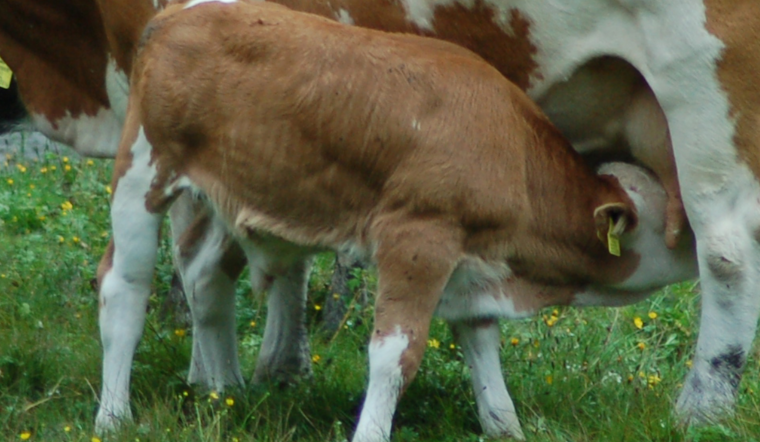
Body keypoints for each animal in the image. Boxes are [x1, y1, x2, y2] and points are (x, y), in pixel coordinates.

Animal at [1, 0, 757, 435]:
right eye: (656, 224)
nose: (686, 232)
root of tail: (175, 16)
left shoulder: (468, 253)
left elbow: (478, 338)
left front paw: (504, 424)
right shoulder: (415, 238)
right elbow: (395, 355)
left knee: (201, 272)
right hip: (143, 173)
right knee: (124, 288)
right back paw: (114, 414)